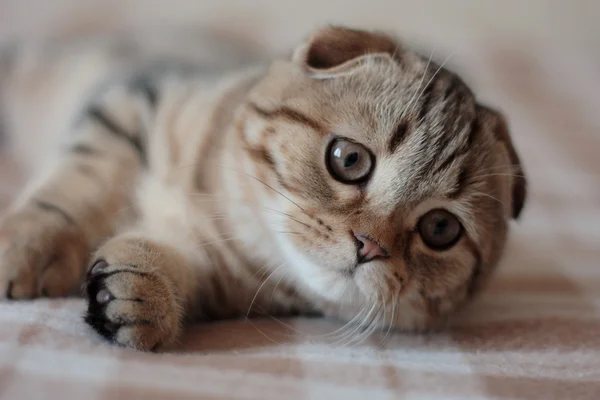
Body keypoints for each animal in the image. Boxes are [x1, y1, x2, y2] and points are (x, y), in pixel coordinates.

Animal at [0, 25, 524, 350]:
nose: (369, 245)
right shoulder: (130, 106)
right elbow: (75, 190)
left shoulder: (219, 277)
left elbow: (178, 266)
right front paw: (27, 246)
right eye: (349, 159)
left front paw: (146, 292)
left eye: (440, 229)